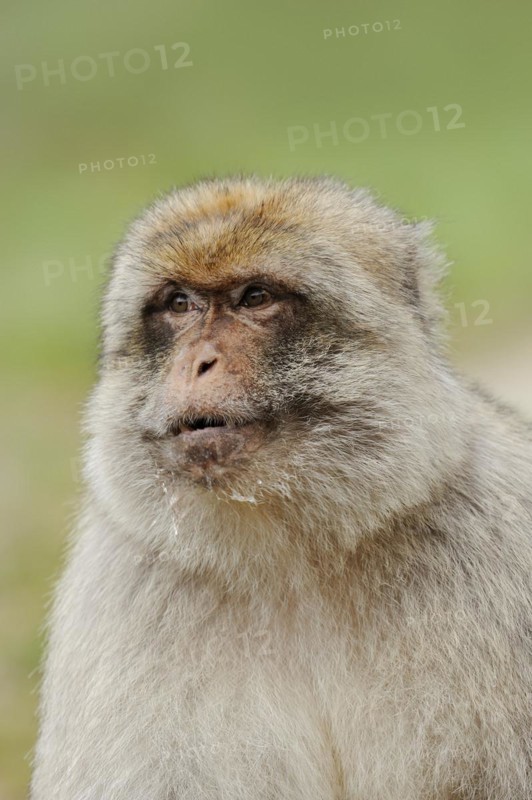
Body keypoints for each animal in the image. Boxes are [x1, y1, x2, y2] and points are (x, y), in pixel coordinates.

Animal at [31, 176, 531, 799]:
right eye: (180, 304)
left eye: (255, 298)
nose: (196, 363)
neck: (292, 552)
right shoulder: (124, 585)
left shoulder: (493, 544)